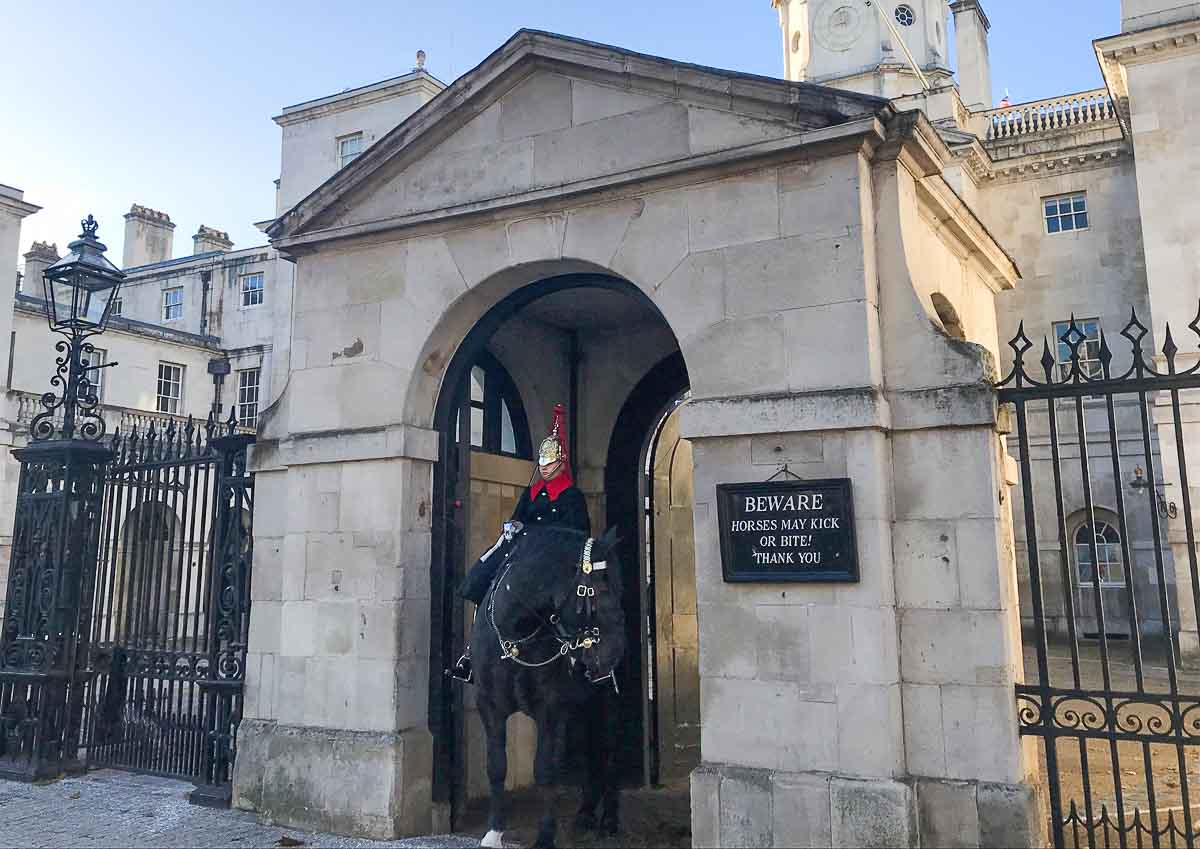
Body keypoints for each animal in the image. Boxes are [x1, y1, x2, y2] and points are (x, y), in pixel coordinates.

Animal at [472, 522, 633, 849]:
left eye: (620, 588)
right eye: (599, 590)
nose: (614, 653)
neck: (518, 633)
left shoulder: (551, 710)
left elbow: (545, 769)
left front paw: (545, 837)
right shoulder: (489, 706)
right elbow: (496, 765)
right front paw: (494, 832)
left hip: (606, 704)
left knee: (608, 752)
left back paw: (609, 820)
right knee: (588, 753)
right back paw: (585, 814)